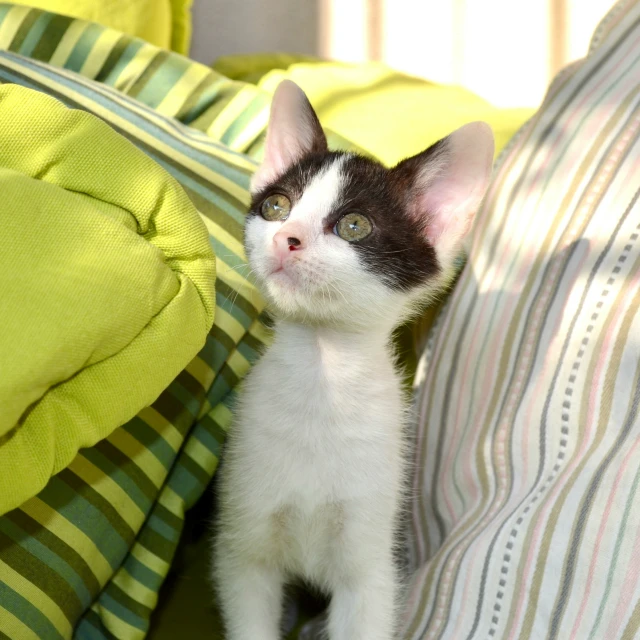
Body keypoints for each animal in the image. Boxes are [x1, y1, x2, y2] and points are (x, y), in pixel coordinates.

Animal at [212, 81, 492, 640]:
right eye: (277, 206)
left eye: (355, 226)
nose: (288, 238)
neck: (321, 379)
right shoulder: (243, 545)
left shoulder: (371, 561)